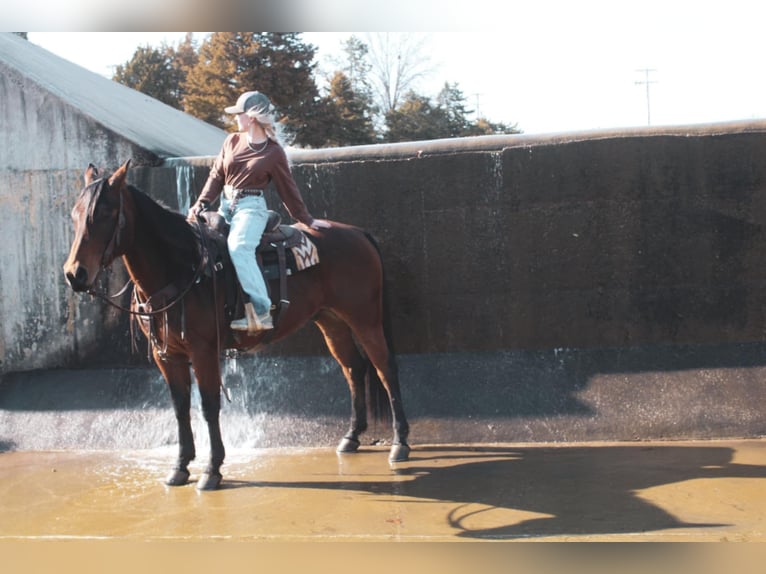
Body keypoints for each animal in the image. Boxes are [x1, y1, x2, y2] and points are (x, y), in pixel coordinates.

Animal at [63, 161, 412, 490]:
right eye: (74, 215)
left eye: (105, 213)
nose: (74, 274)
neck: (184, 266)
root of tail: (358, 233)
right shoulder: (168, 356)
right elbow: (180, 408)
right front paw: (180, 467)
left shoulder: (203, 351)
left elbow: (208, 406)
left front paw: (212, 470)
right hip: (332, 321)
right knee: (353, 368)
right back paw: (352, 437)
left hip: (365, 318)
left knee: (384, 369)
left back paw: (400, 442)